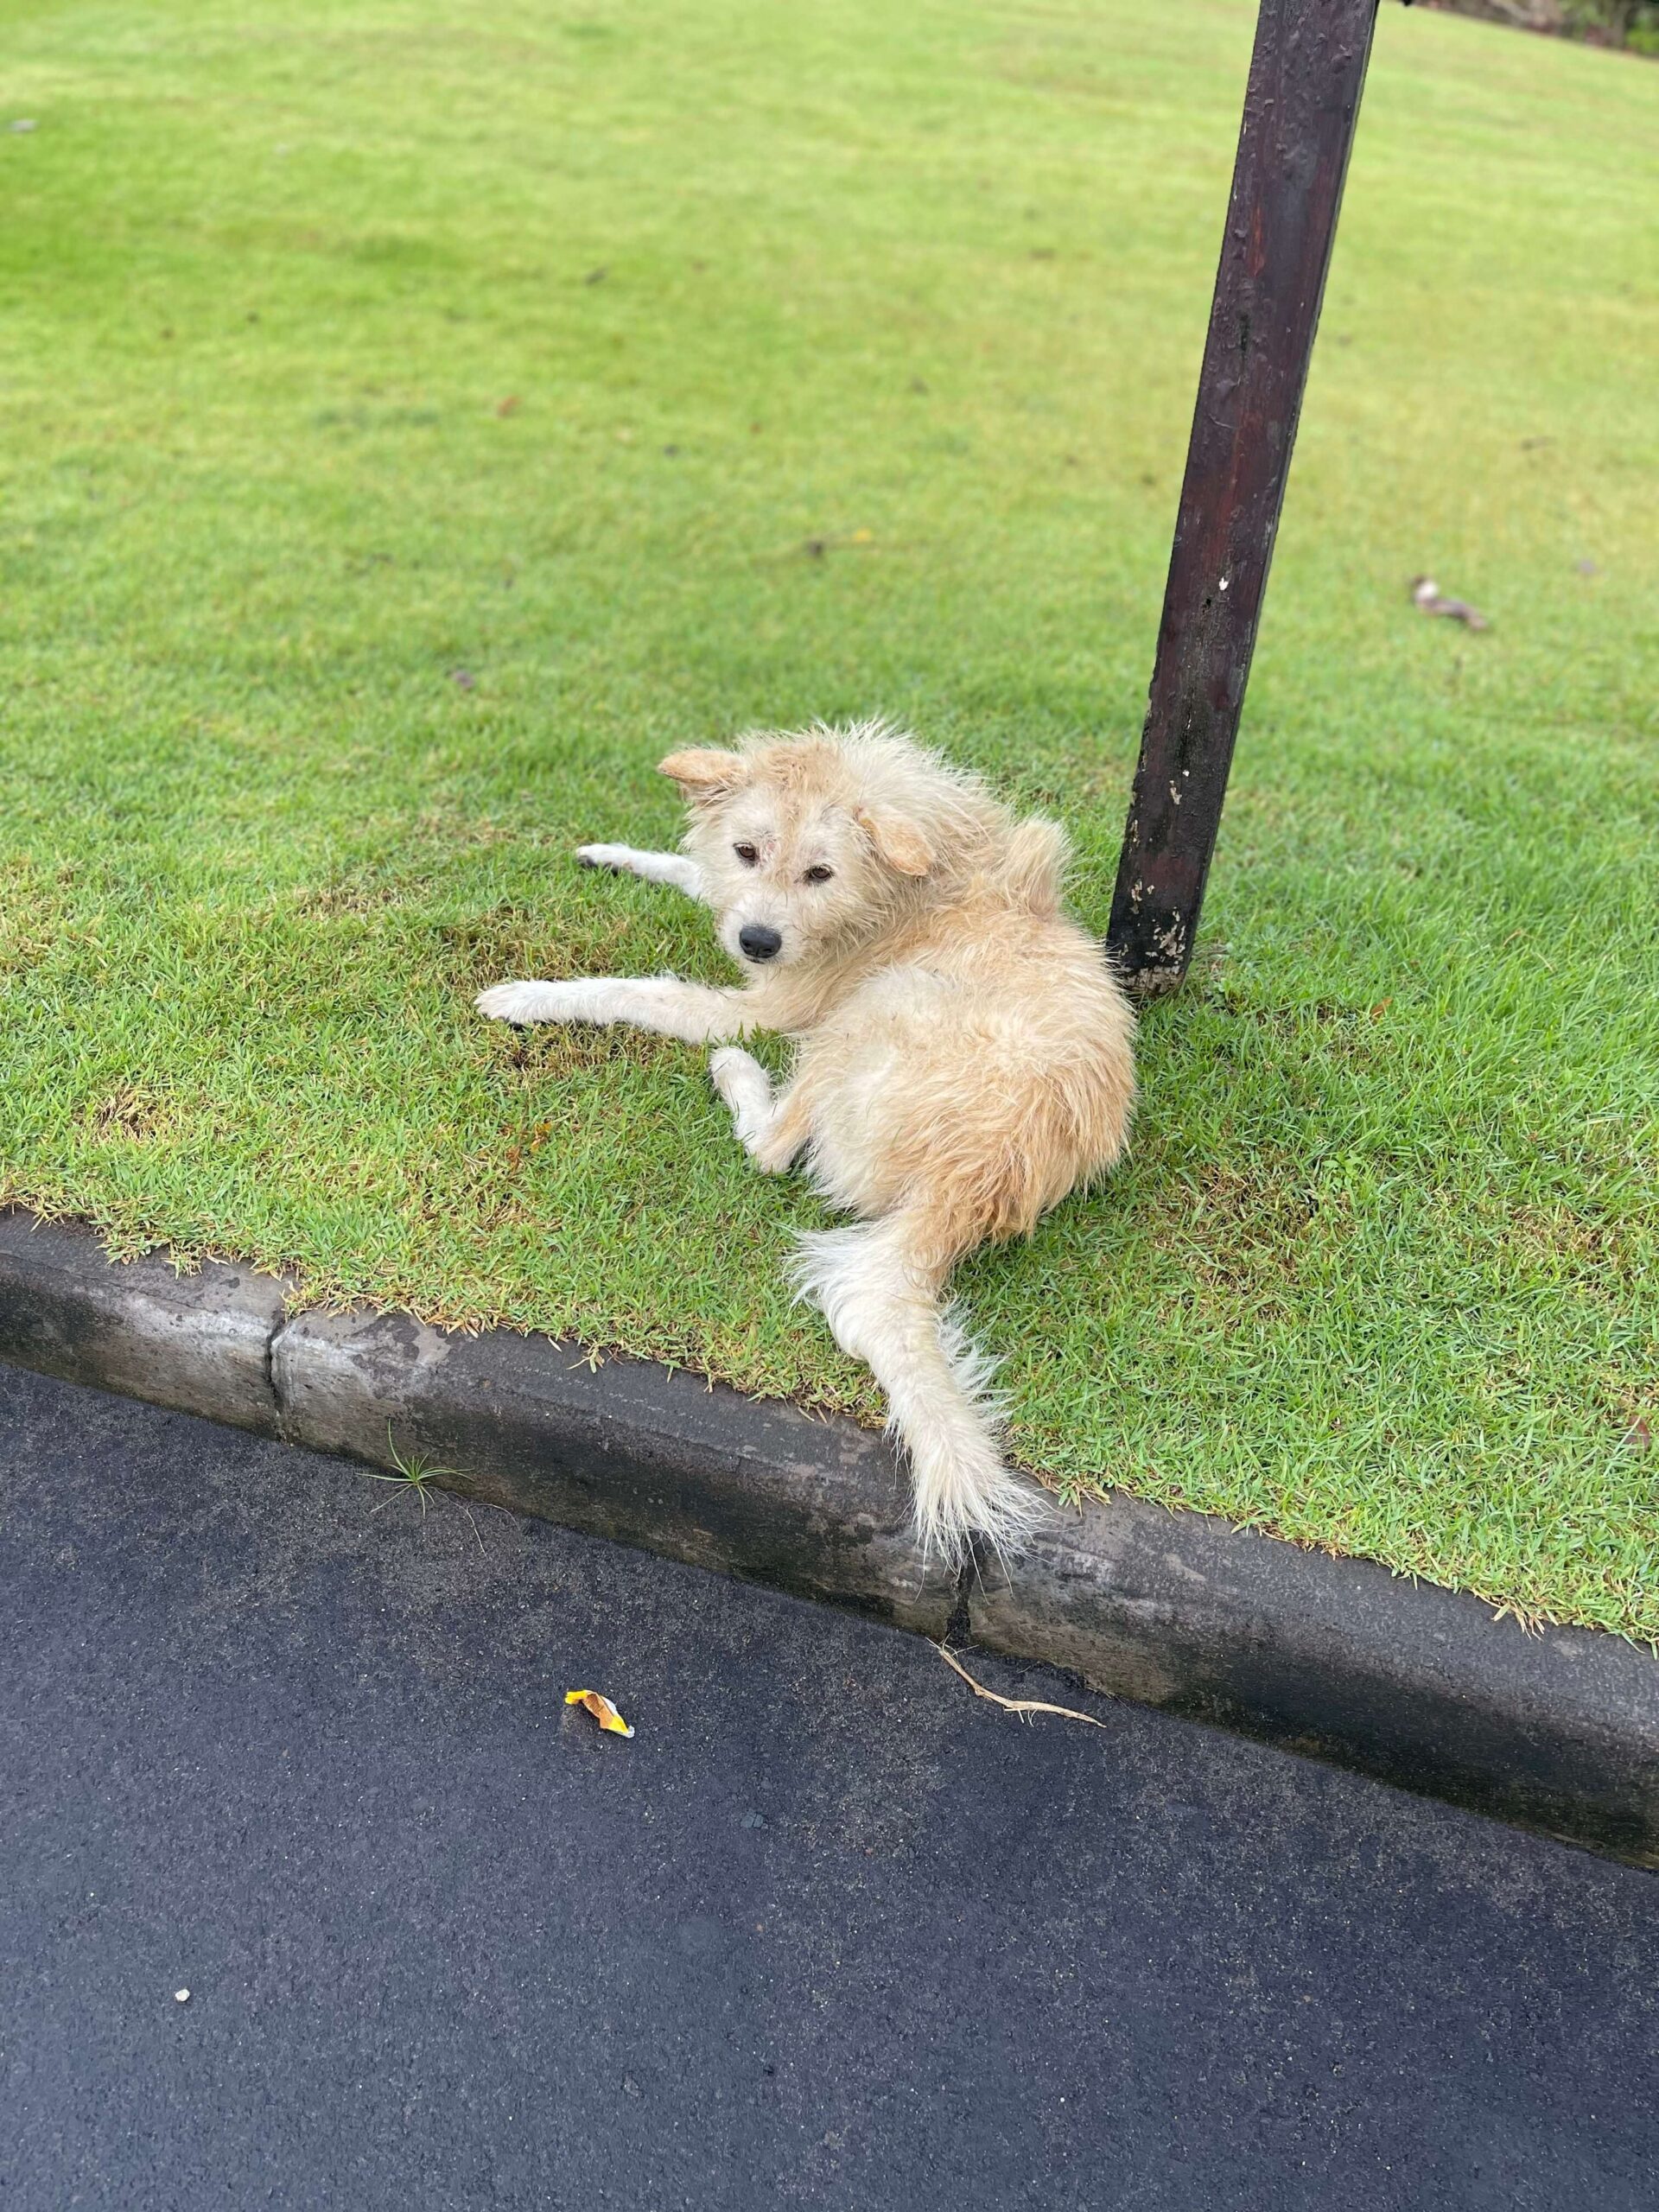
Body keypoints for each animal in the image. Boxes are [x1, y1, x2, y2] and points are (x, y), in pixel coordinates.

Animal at [473, 721, 1141, 1557]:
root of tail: (972, 1182)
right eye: (747, 851)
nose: (758, 941)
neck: (903, 885)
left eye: (820, 871)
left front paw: (532, 996)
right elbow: (695, 875)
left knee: (771, 1147)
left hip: (875, 1007)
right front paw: (613, 853)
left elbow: (637, 990)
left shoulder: (763, 1005)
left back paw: (736, 1075)